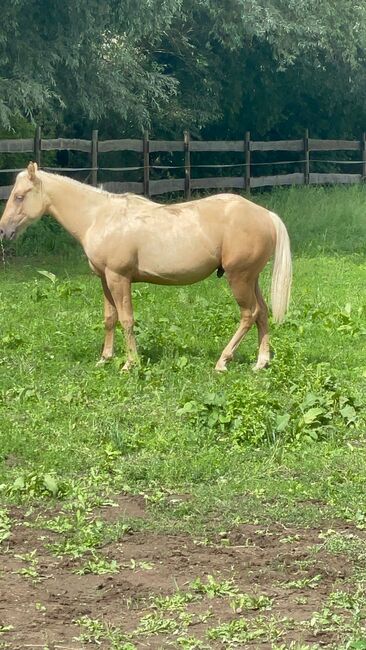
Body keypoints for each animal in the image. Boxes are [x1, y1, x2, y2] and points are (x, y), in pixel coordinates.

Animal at [0, 162, 292, 370]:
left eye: (19, 196)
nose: (3, 230)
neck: (99, 217)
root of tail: (266, 215)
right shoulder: (104, 279)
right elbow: (110, 318)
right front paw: (105, 358)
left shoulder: (119, 278)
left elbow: (127, 319)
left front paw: (130, 363)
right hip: (250, 279)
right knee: (262, 312)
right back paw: (261, 362)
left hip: (238, 278)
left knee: (248, 315)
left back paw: (223, 361)